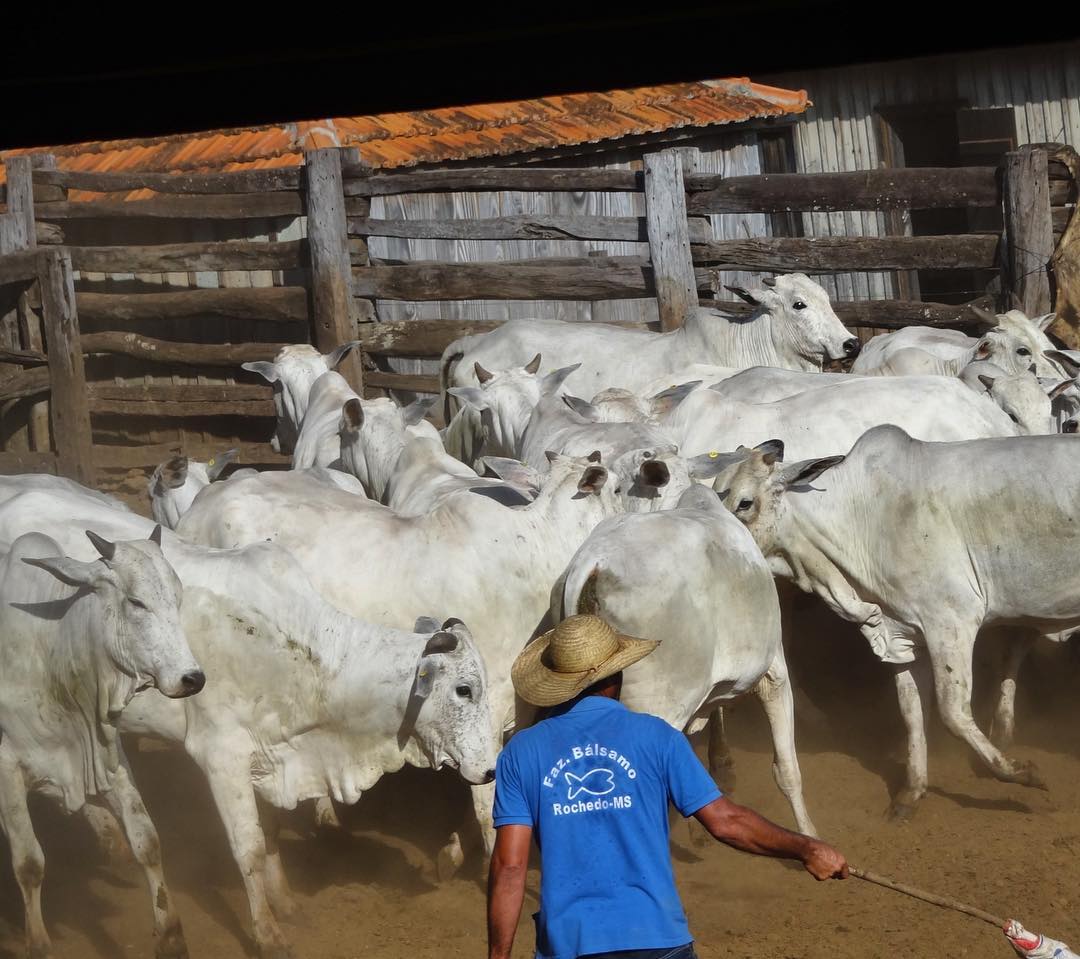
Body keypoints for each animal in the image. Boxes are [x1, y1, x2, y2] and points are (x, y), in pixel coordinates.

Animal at [0, 524, 201, 959]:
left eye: (177, 598)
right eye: (136, 602)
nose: (193, 678)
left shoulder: (109, 757)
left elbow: (147, 840)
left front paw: (171, 936)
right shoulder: (6, 770)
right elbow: (29, 863)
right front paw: (38, 943)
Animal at [708, 427, 1080, 816]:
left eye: (745, 503)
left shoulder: (951, 621)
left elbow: (953, 713)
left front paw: (1022, 773)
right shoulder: (903, 635)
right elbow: (912, 712)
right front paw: (911, 792)